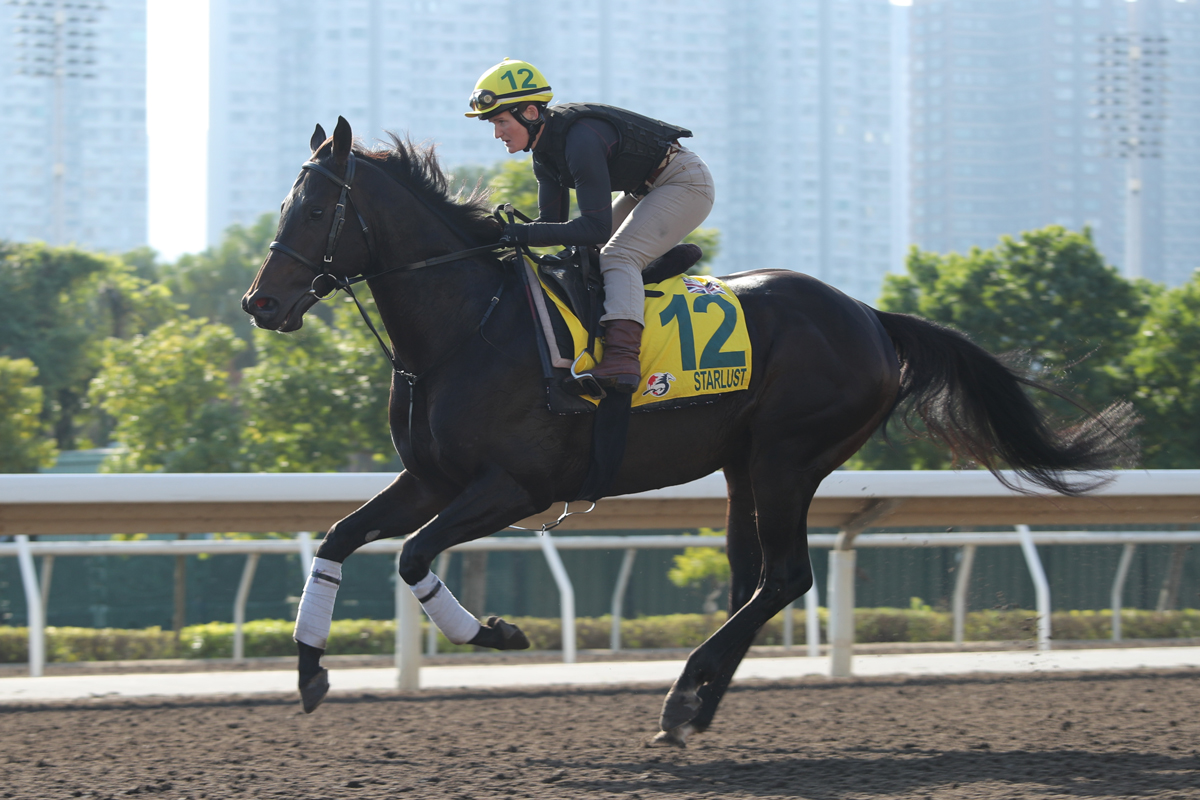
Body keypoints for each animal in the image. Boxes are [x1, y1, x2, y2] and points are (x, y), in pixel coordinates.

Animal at [243, 117, 1132, 743]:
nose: (262, 302)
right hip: (743, 464)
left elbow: (413, 556)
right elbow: (338, 539)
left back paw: (682, 696)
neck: (469, 328)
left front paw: (496, 633)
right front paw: (310, 672)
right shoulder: (432, 477)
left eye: (316, 207)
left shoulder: (513, 486)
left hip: (787, 456)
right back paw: (695, 705)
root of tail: (871, 317)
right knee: (752, 582)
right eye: (284, 204)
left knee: (785, 578)